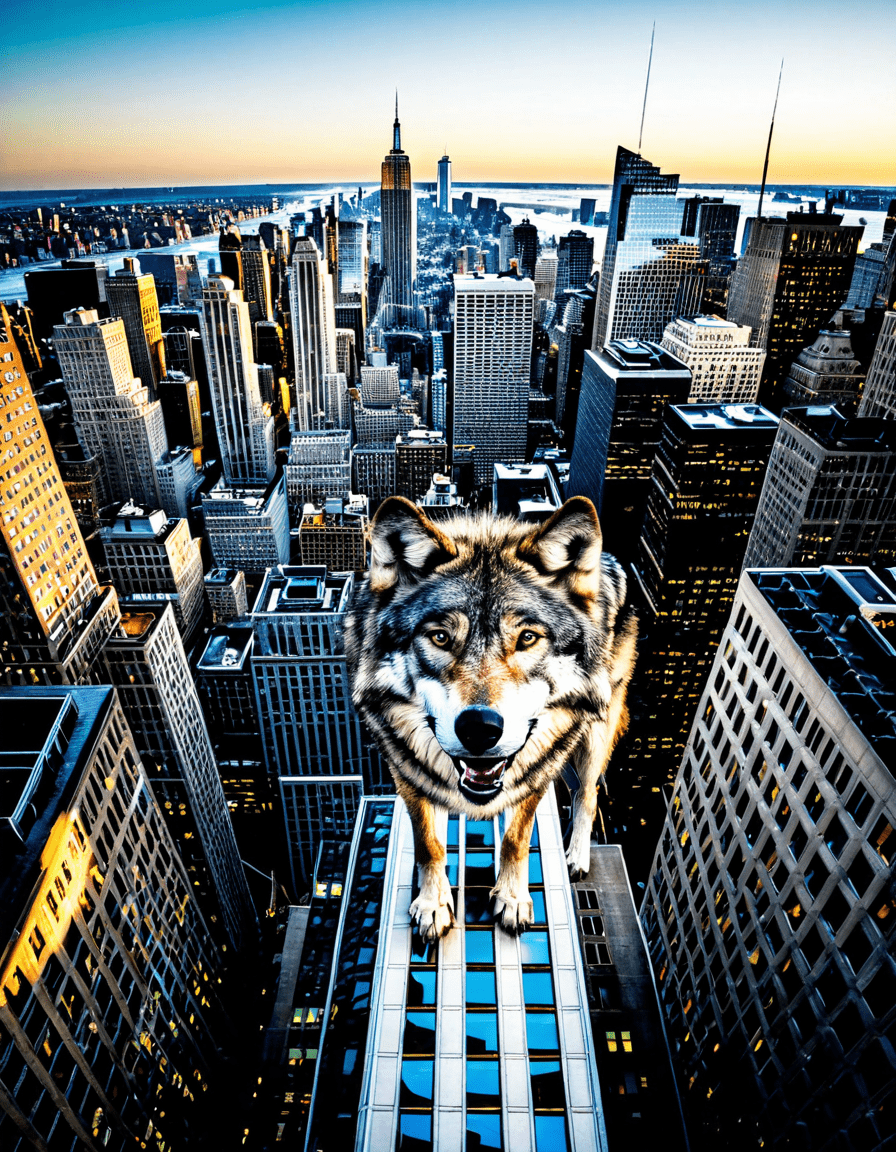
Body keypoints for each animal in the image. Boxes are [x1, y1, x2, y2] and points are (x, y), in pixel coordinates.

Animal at [345, 495, 636, 941]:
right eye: (441, 637)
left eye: (527, 638)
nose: (479, 728)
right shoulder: (405, 773)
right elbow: (428, 842)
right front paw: (432, 905)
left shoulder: (537, 771)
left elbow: (516, 838)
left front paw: (512, 899)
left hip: (594, 733)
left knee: (588, 793)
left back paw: (576, 856)